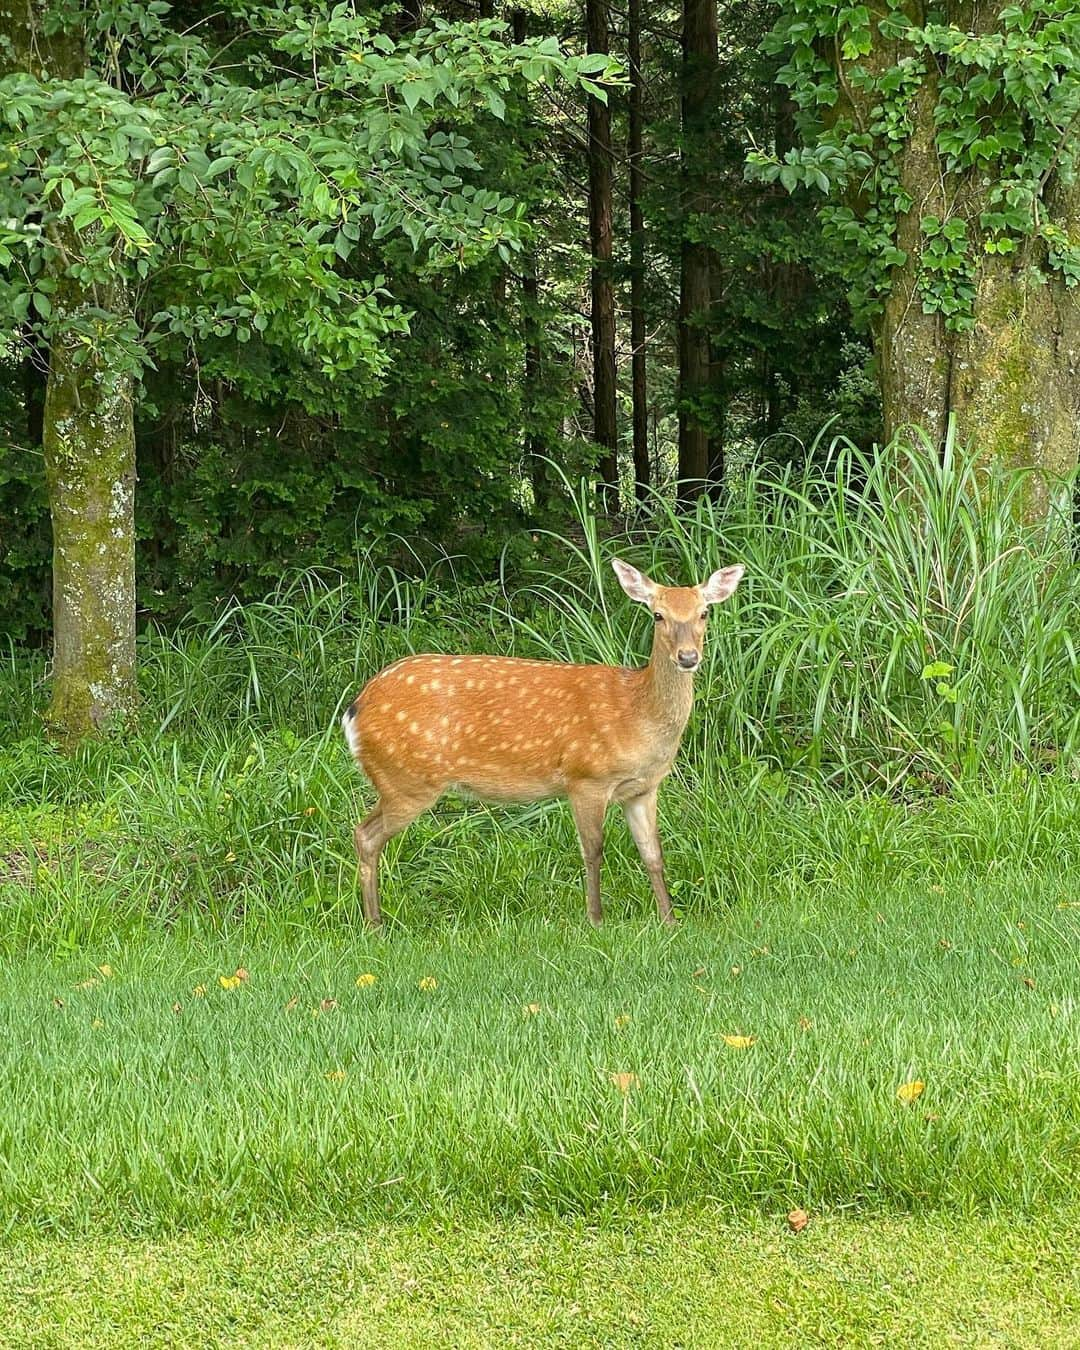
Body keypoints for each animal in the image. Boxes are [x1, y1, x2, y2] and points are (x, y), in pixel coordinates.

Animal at [341, 558, 745, 928]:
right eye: (658, 615)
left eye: (704, 612)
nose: (688, 657)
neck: (636, 714)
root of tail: (355, 710)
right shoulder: (586, 777)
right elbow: (593, 850)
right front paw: (596, 920)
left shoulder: (643, 788)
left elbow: (653, 854)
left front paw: (669, 921)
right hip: (407, 779)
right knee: (365, 835)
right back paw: (374, 924)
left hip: (399, 780)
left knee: (365, 834)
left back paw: (375, 920)